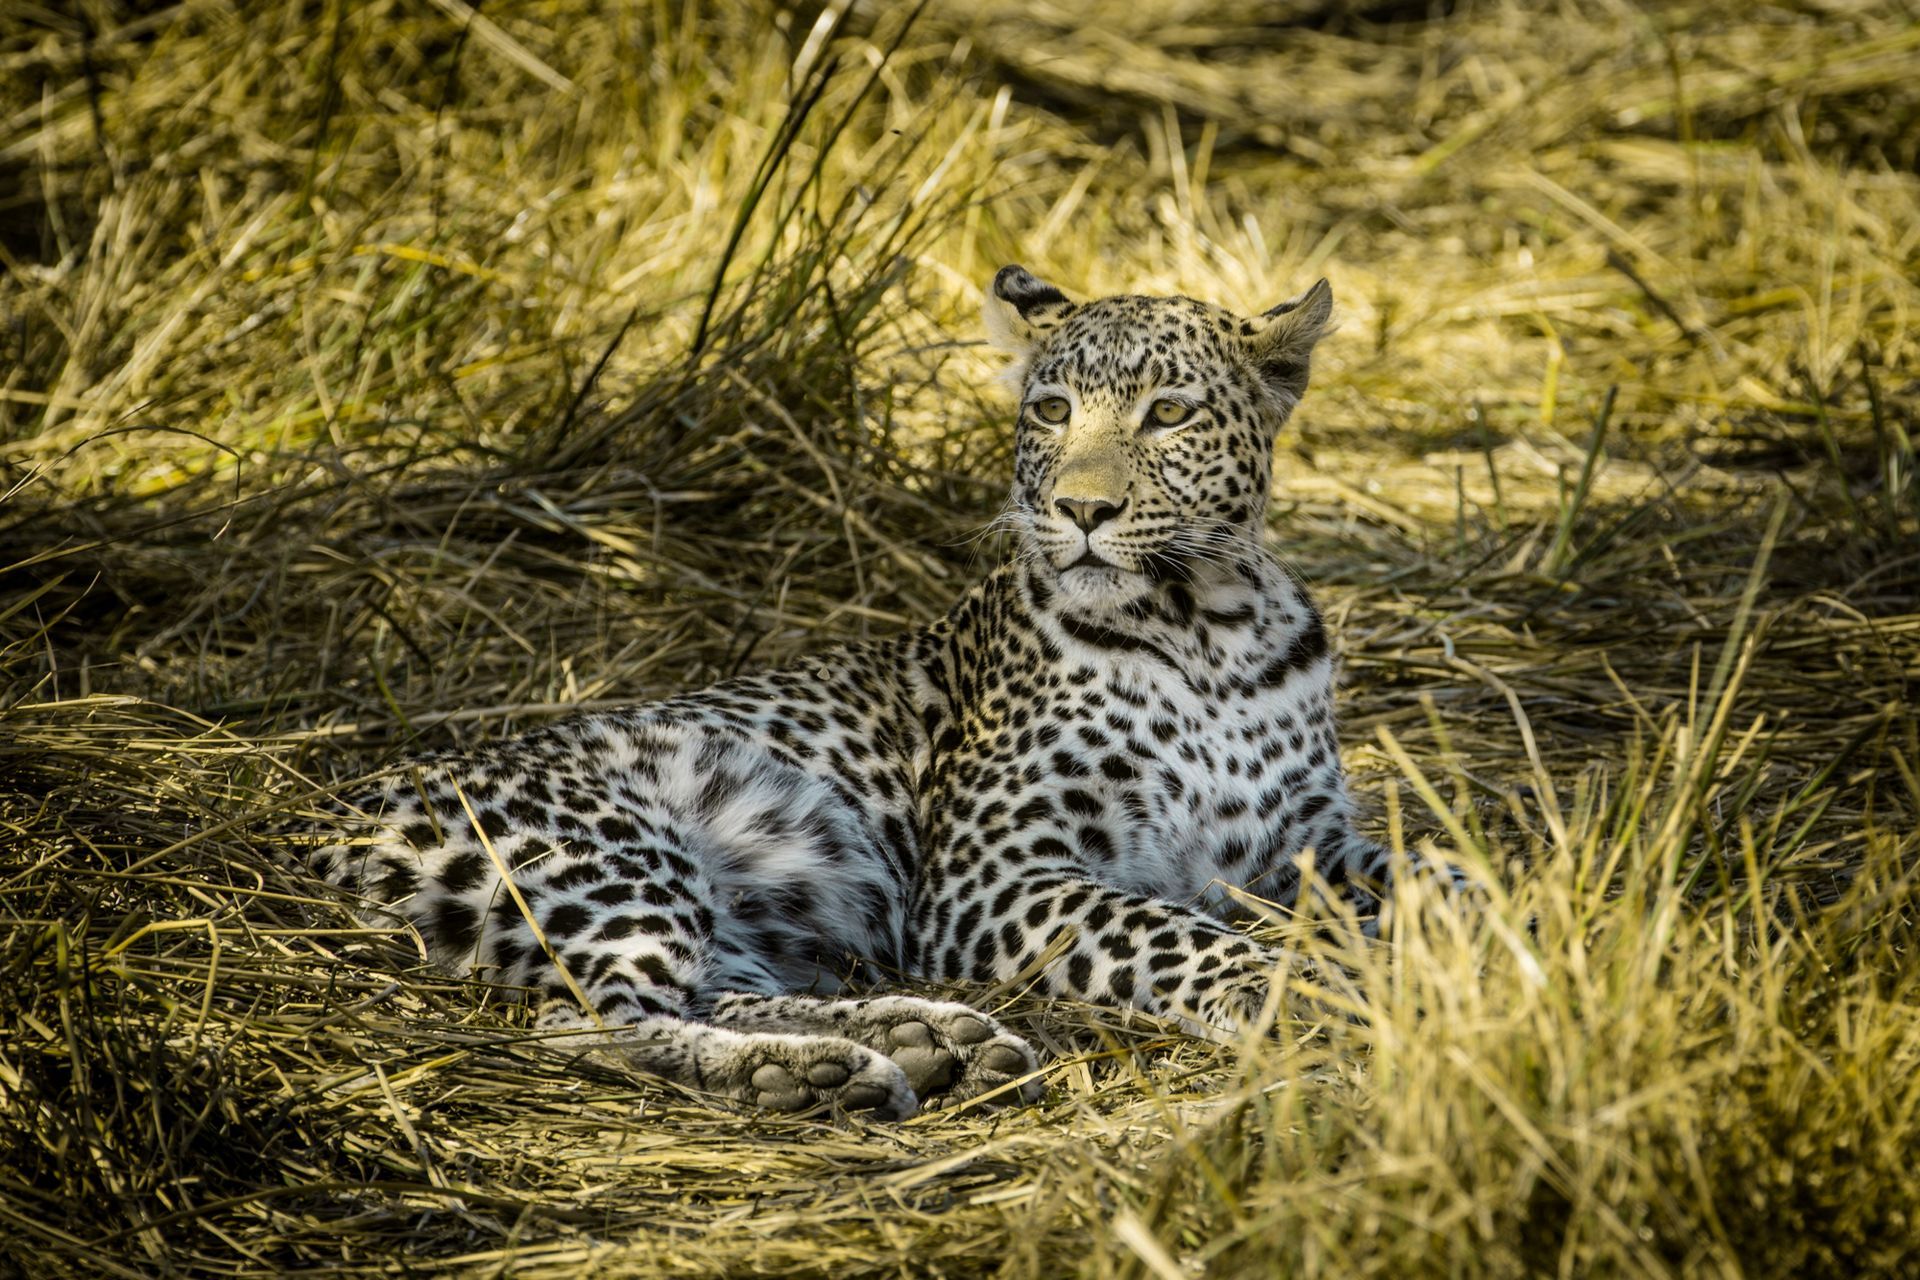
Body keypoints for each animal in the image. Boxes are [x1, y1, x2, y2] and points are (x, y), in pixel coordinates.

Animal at [303, 265, 1417, 1121]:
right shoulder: (991, 876)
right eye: (1052, 411)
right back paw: (815, 1073)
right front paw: (1288, 987)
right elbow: (1168, 928)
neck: (1205, 629)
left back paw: (927, 1039)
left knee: (709, 989)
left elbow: (1431, 868)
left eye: (1170, 414)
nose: (1081, 510)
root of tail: (317, 818)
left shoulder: (1304, 842)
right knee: (591, 1018)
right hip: (603, 854)